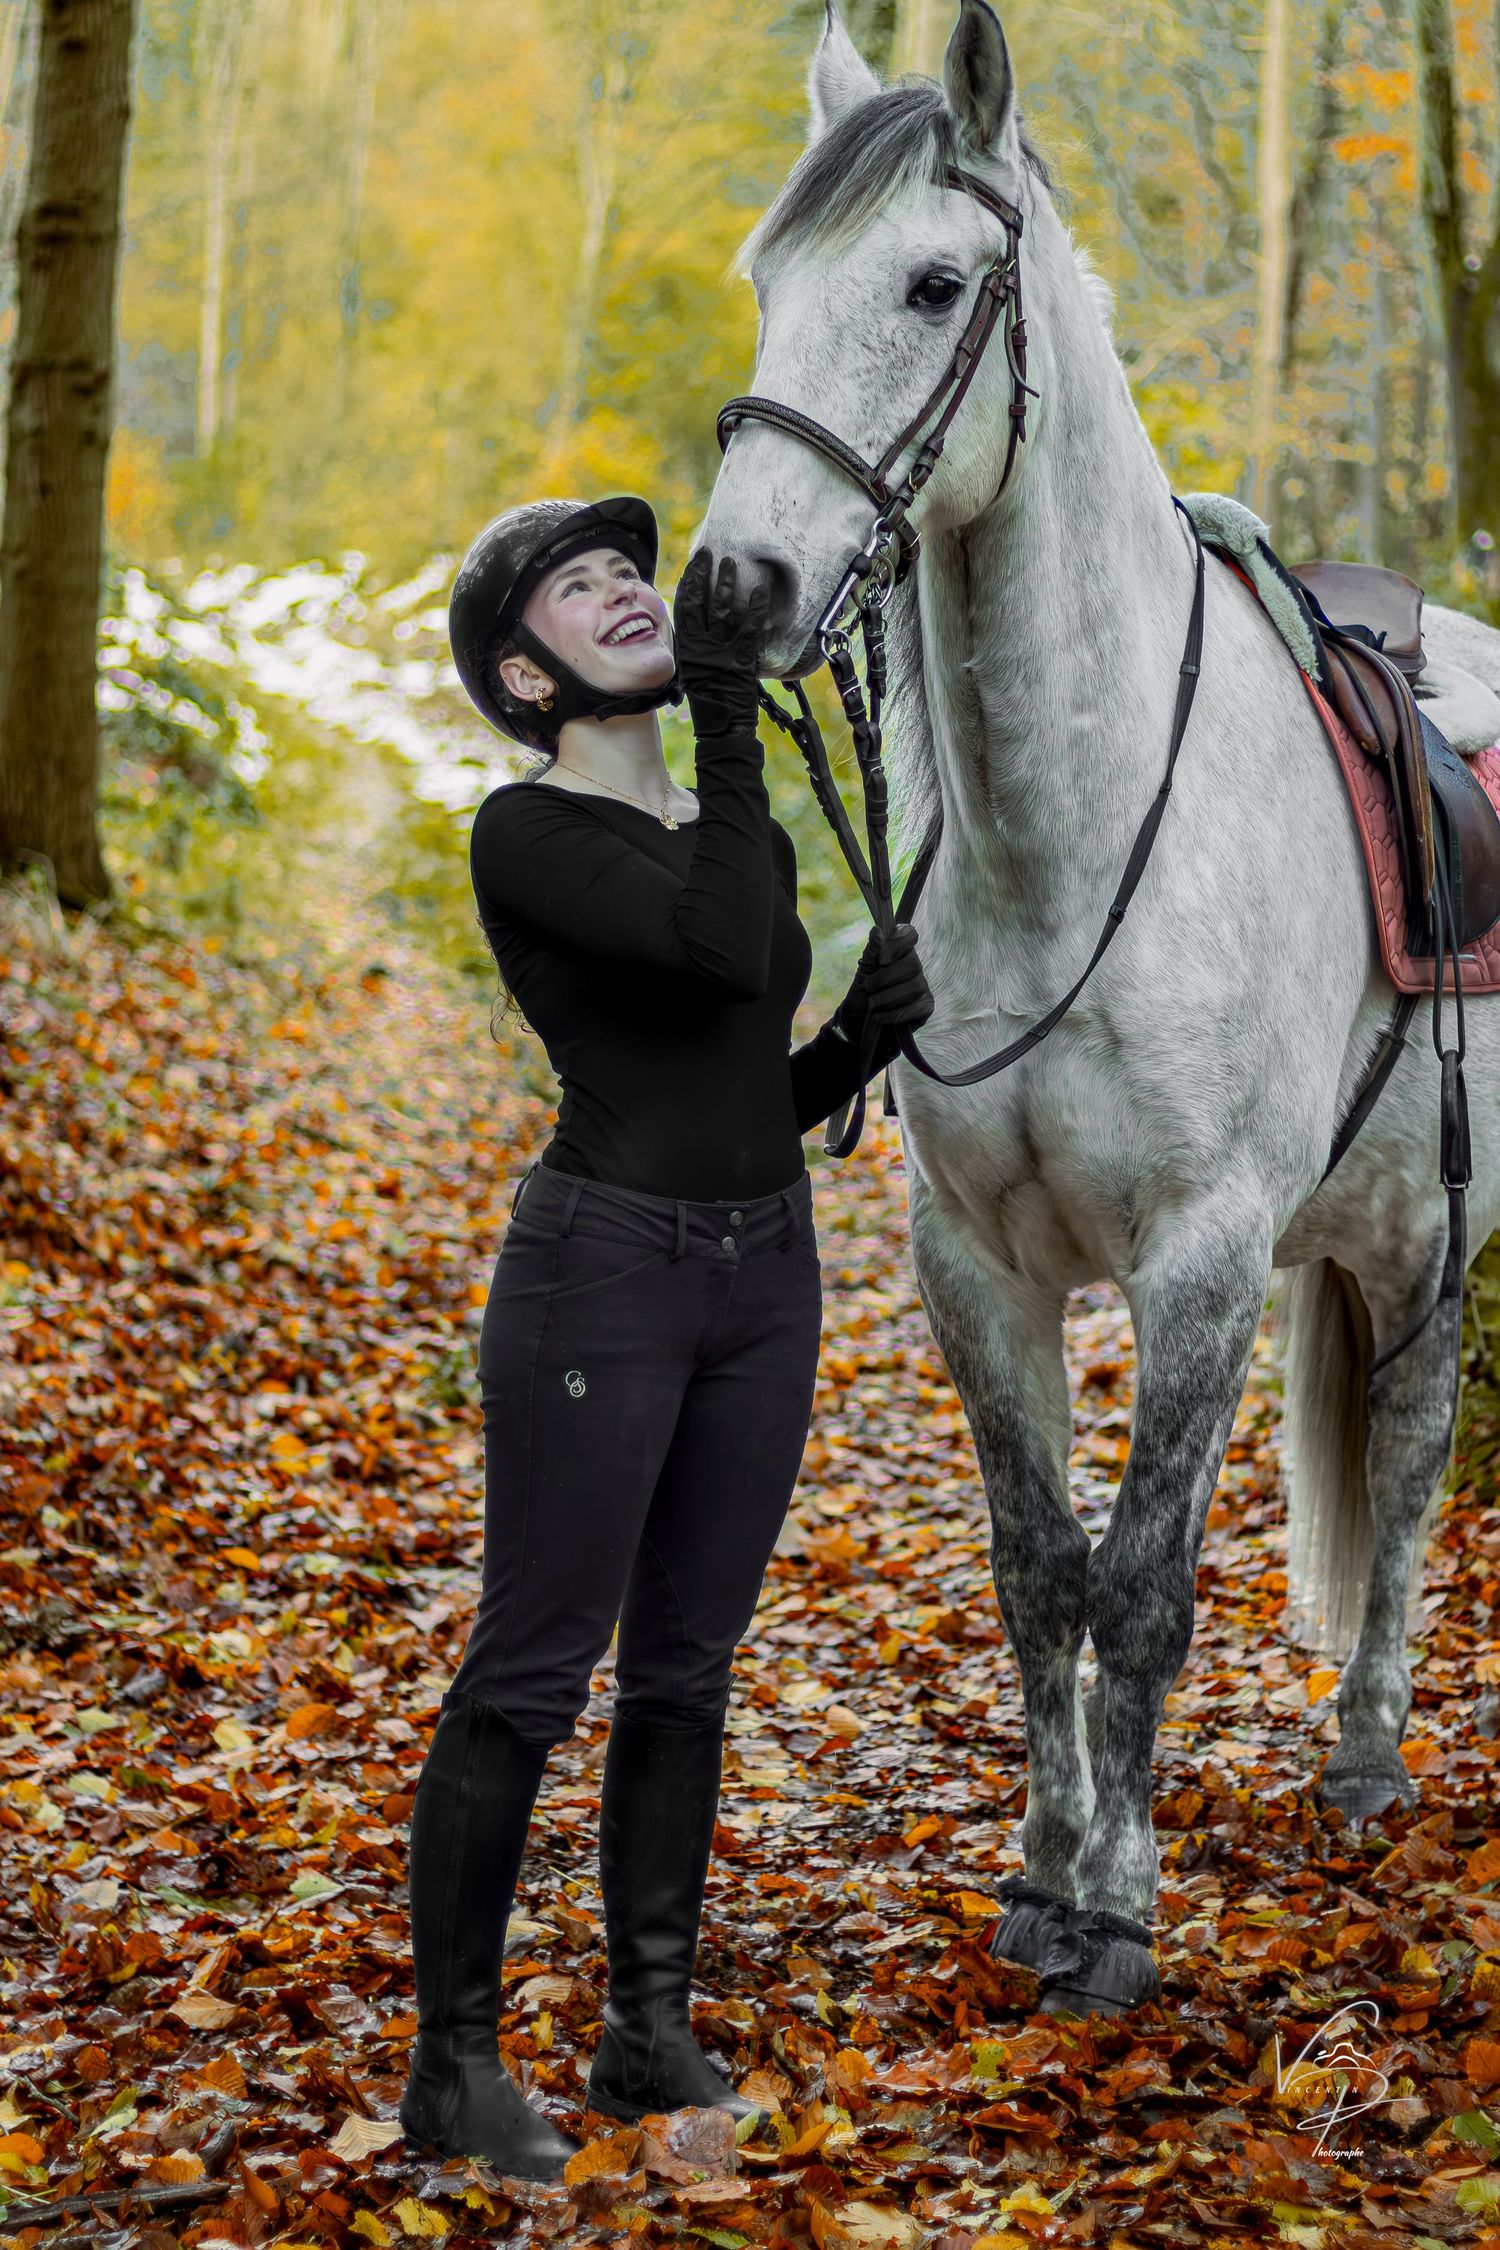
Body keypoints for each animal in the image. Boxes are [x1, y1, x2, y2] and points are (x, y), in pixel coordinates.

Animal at [698, 0, 1500, 2006]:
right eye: (769, 282)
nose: (729, 588)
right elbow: (1036, 1566)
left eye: (931, 282)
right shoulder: (979, 1265)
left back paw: (1367, 1758)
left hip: (1439, 1236)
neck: (1079, 841)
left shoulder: (1199, 1260)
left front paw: (1123, 1912)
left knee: (1413, 1452)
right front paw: (1045, 1870)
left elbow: (1140, 1586)